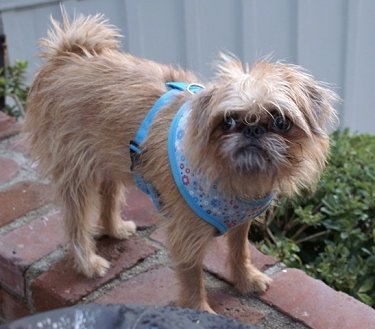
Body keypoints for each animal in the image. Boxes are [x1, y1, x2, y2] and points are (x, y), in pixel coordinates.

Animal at [25, 11, 340, 312]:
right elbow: (192, 276)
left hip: (110, 159)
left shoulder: (241, 223)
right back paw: (88, 262)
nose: (252, 130)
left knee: (109, 195)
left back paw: (114, 228)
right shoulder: (186, 233)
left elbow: (239, 251)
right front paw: (200, 311)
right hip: (76, 172)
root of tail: (69, 56)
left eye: (280, 121)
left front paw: (245, 279)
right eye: (228, 121)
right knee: (76, 221)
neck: (234, 176)